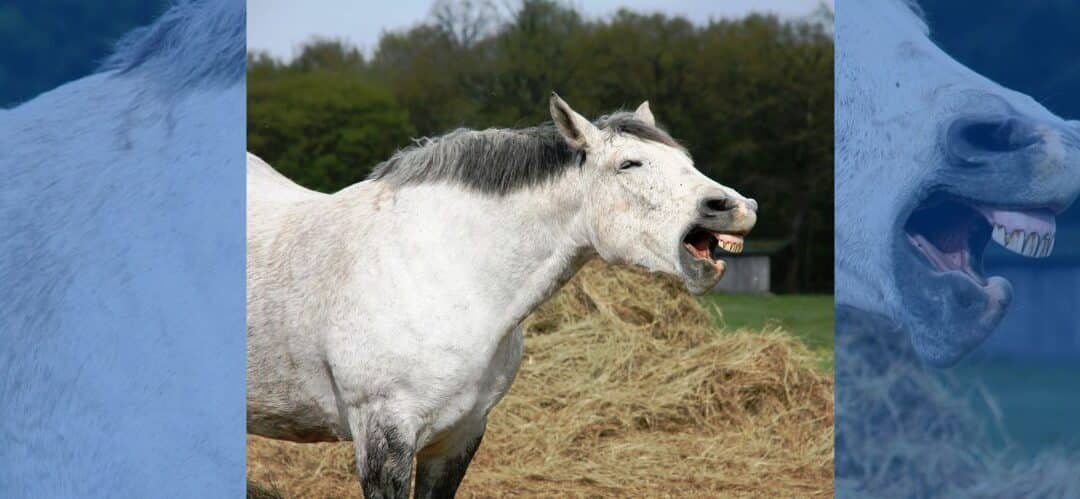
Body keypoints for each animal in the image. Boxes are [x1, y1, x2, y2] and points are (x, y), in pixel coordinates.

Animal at [246, 95, 758, 497]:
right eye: (628, 164)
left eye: (687, 162)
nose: (734, 207)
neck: (444, 271)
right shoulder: (382, 437)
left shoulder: (459, 437)